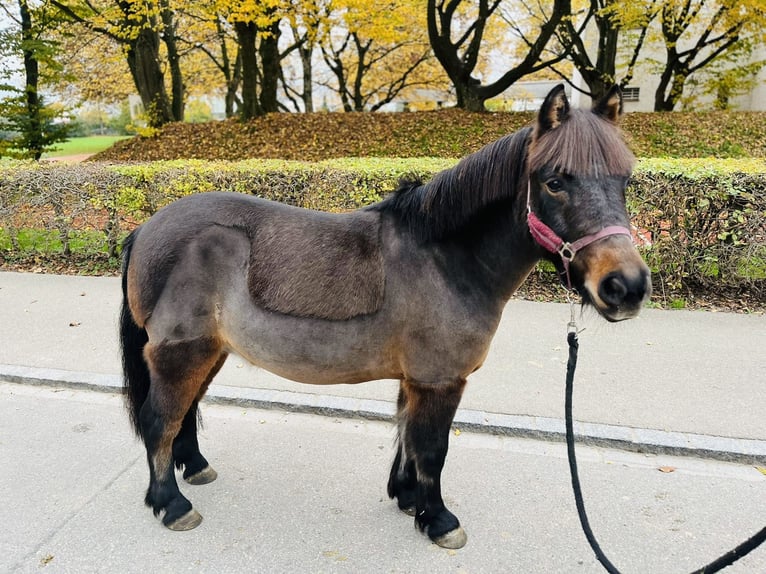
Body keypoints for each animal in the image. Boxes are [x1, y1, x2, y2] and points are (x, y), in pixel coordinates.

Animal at [121, 84, 656, 548]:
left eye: (625, 181)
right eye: (554, 182)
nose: (625, 286)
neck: (444, 258)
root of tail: (147, 228)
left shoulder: (416, 378)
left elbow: (407, 436)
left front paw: (407, 497)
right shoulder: (440, 380)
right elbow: (432, 448)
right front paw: (438, 518)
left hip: (211, 352)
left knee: (185, 412)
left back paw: (195, 468)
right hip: (182, 353)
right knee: (159, 418)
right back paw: (171, 503)